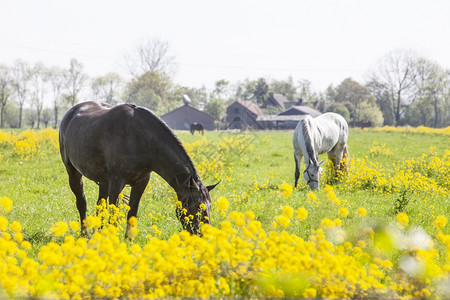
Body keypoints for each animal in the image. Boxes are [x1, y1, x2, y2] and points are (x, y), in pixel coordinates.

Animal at [59, 102, 218, 238]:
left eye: (210, 206)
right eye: (196, 206)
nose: (204, 235)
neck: (140, 138)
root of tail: (71, 113)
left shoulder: (141, 182)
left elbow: (132, 214)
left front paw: (128, 241)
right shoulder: (116, 183)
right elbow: (113, 214)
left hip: (103, 181)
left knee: (100, 205)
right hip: (73, 173)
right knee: (82, 203)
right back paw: (85, 234)